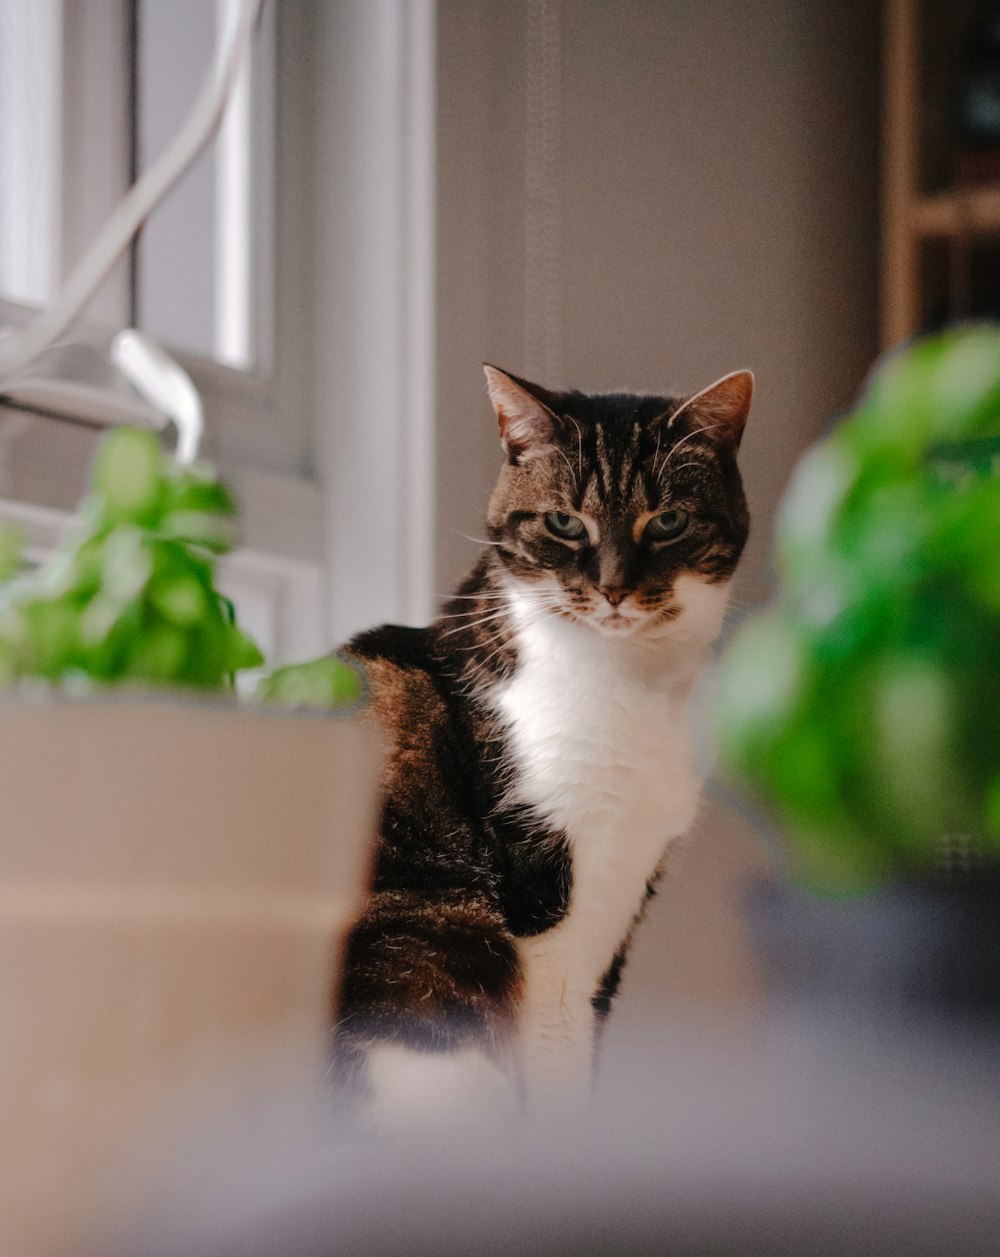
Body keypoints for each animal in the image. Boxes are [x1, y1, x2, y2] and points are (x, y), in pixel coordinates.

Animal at [334, 362, 748, 1121]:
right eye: (564, 522)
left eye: (667, 522)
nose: (613, 588)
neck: (632, 682)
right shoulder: (548, 902)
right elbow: (557, 1054)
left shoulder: (625, 898)